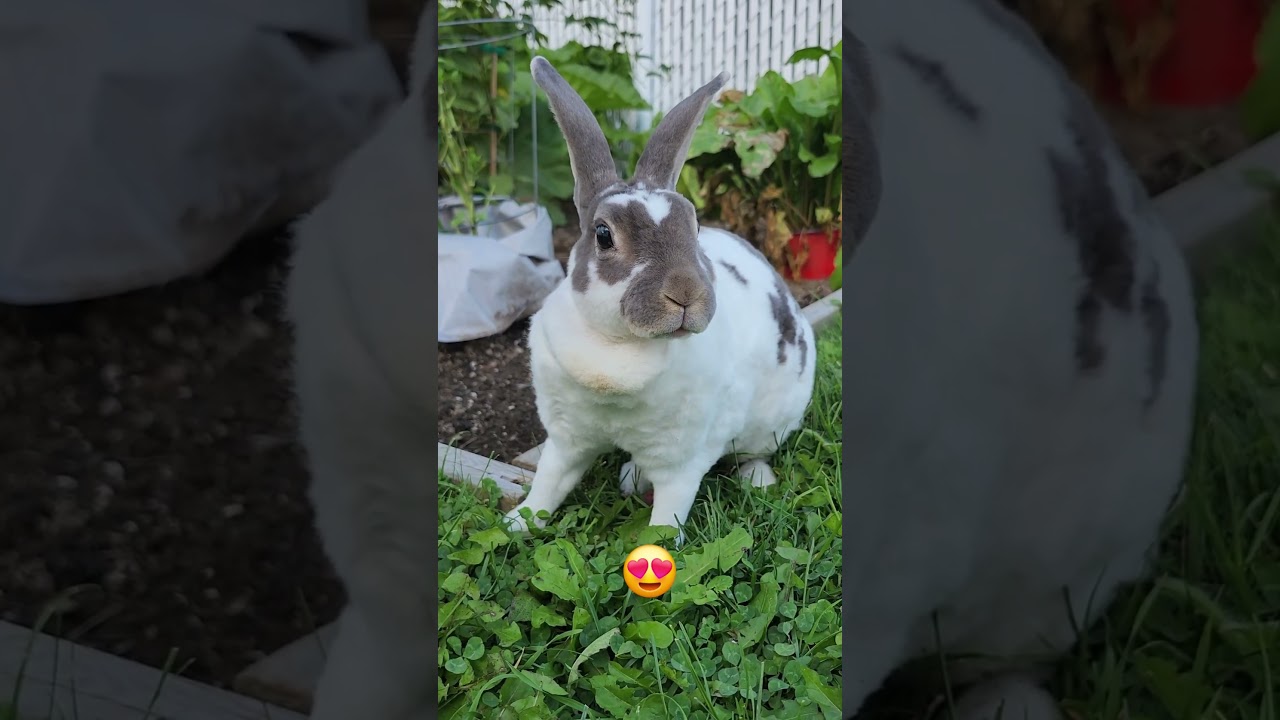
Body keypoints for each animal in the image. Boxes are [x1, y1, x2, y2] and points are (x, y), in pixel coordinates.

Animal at [502, 57, 818, 542]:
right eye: (603, 234)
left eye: (694, 225)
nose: (686, 294)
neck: (618, 348)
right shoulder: (566, 437)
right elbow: (549, 483)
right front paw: (517, 522)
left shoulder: (682, 459)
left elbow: (670, 510)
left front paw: (658, 548)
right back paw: (631, 477)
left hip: (771, 423)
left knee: (753, 452)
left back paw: (757, 479)